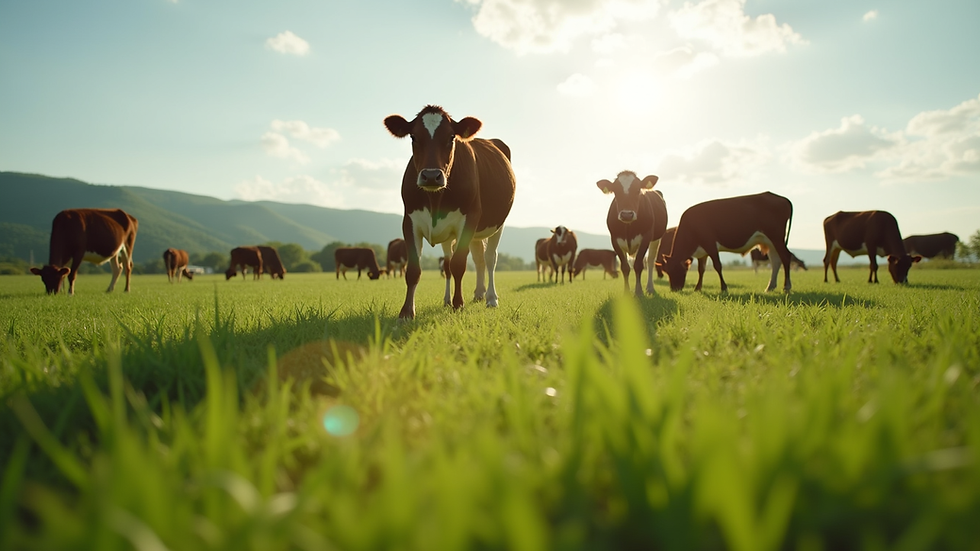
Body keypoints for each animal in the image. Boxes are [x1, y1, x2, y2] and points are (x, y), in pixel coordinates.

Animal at [384, 105, 516, 318]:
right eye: (413, 136)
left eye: (451, 137)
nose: (431, 176)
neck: (435, 199)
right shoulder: (409, 220)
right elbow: (415, 269)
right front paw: (406, 312)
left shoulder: (469, 219)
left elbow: (458, 264)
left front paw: (458, 304)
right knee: (475, 259)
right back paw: (476, 294)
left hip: (497, 224)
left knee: (490, 258)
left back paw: (490, 298)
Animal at [660, 192, 795, 293]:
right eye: (667, 271)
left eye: (676, 269)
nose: (674, 289)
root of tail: (782, 199)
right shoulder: (702, 252)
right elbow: (701, 269)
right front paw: (698, 288)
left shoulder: (710, 245)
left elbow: (717, 266)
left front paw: (724, 288)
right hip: (769, 242)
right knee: (776, 261)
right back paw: (770, 287)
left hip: (777, 237)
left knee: (785, 257)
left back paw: (786, 286)